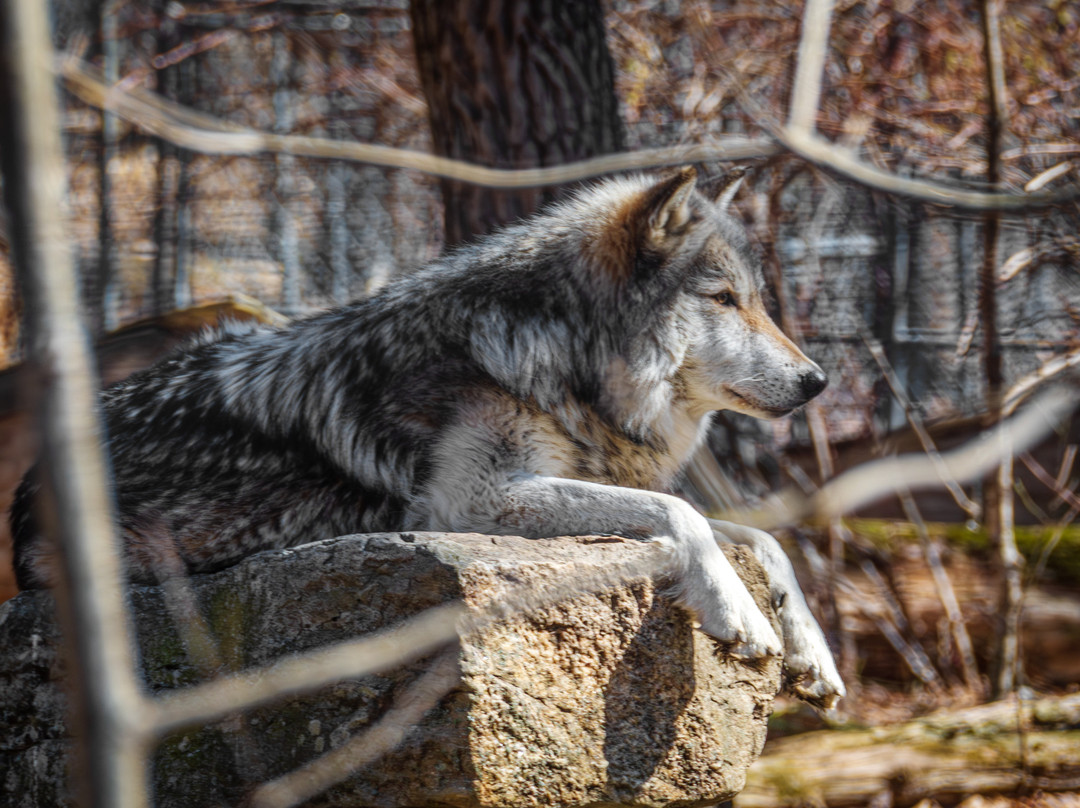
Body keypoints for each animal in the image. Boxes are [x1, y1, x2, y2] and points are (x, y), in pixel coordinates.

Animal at [13, 167, 844, 707]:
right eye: (724, 299)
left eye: (756, 299)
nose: (818, 381)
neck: (548, 350)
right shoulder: (470, 501)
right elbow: (685, 513)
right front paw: (738, 613)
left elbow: (766, 540)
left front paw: (813, 653)